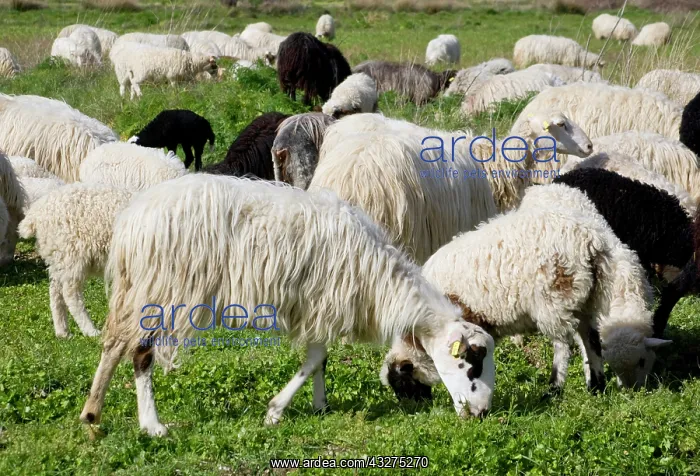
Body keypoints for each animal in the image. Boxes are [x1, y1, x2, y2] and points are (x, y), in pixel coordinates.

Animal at [18, 183, 132, 338]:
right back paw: (90, 330)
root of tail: (36, 213)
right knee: (70, 293)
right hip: (72, 254)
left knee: (55, 291)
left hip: (57, 256)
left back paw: (62, 332)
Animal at [78, 174, 497, 435]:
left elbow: (320, 361)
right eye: (471, 361)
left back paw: (92, 412)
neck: (379, 281)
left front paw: (320, 405)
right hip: (164, 292)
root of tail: (132, 219)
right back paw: (152, 426)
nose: (482, 414)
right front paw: (276, 410)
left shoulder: (317, 309)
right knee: (141, 353)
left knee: (113, 342)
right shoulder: (322, 305)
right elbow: (315, 359)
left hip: (134, 290)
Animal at [382, 183, 672, 402]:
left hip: (553, 299)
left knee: (562, 344)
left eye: (402, 383)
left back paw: (555, 387)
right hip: (583, 299)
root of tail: (592, 241)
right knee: (590, 339)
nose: (419, 408)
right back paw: (596, 385)